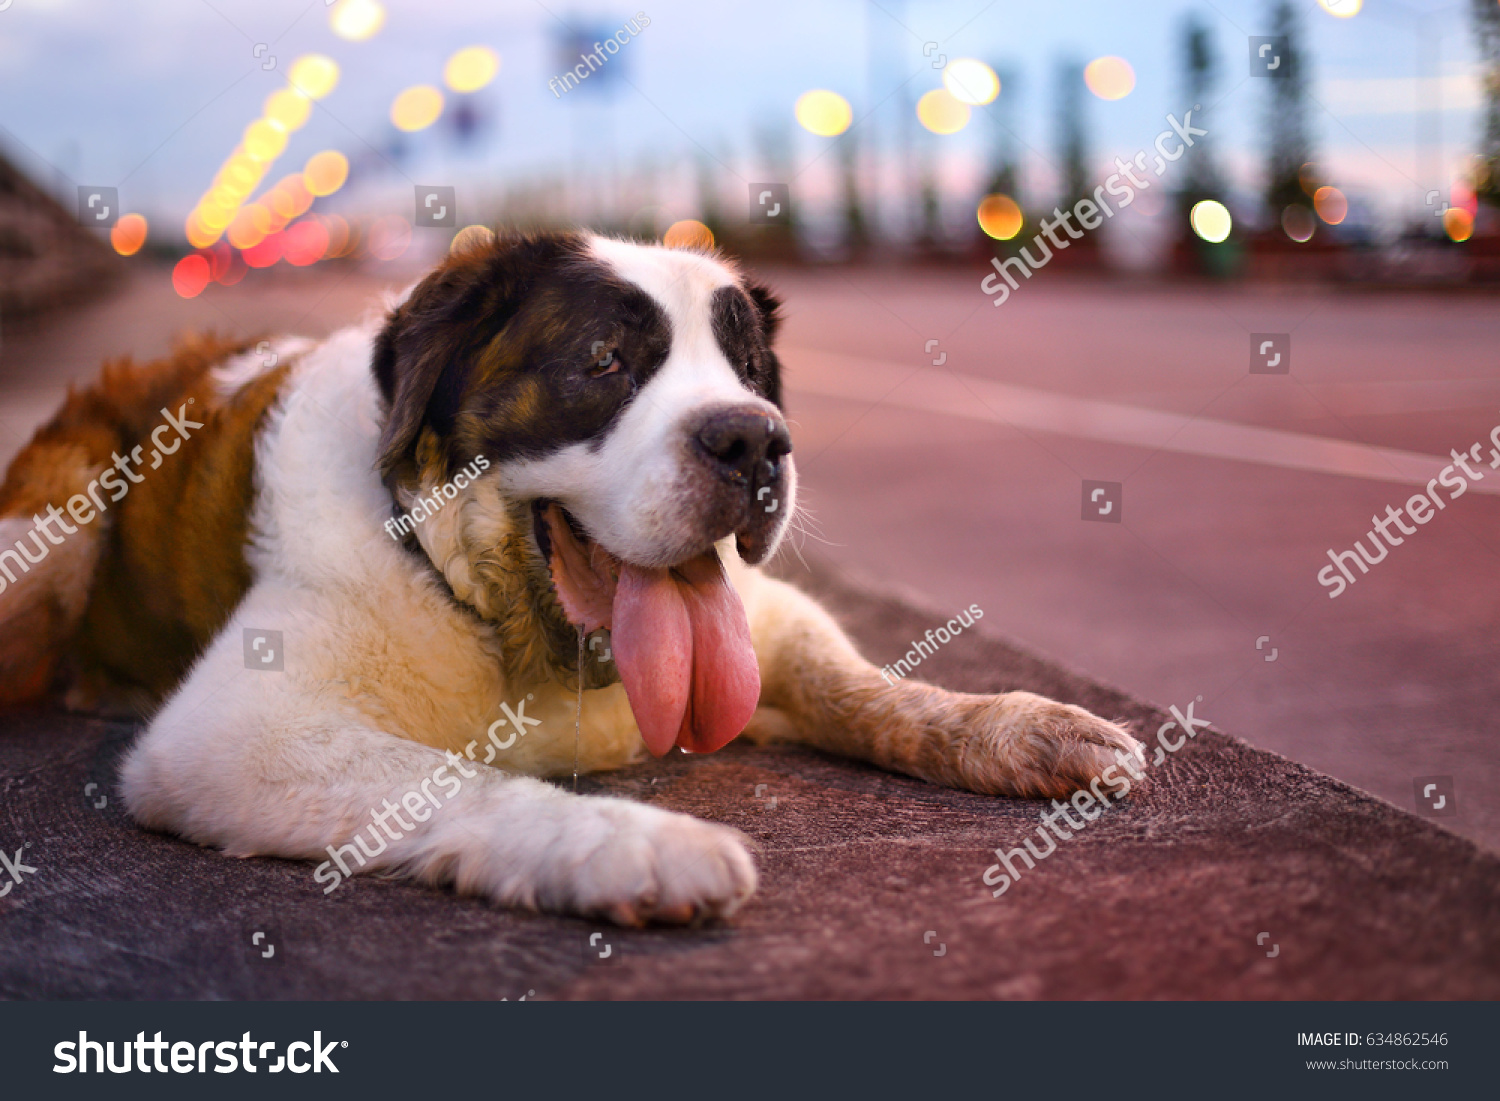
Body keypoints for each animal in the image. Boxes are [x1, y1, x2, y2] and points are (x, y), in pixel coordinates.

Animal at [0, 231, 1140, 924]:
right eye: (603, 362)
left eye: (750, 374)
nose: (754, 442)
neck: (494, 608)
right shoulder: (236, 733)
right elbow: (457, 779)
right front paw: (640, 848)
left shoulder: (765, 621)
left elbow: (862, 684)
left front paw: (1017, 724)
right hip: (50, 532)